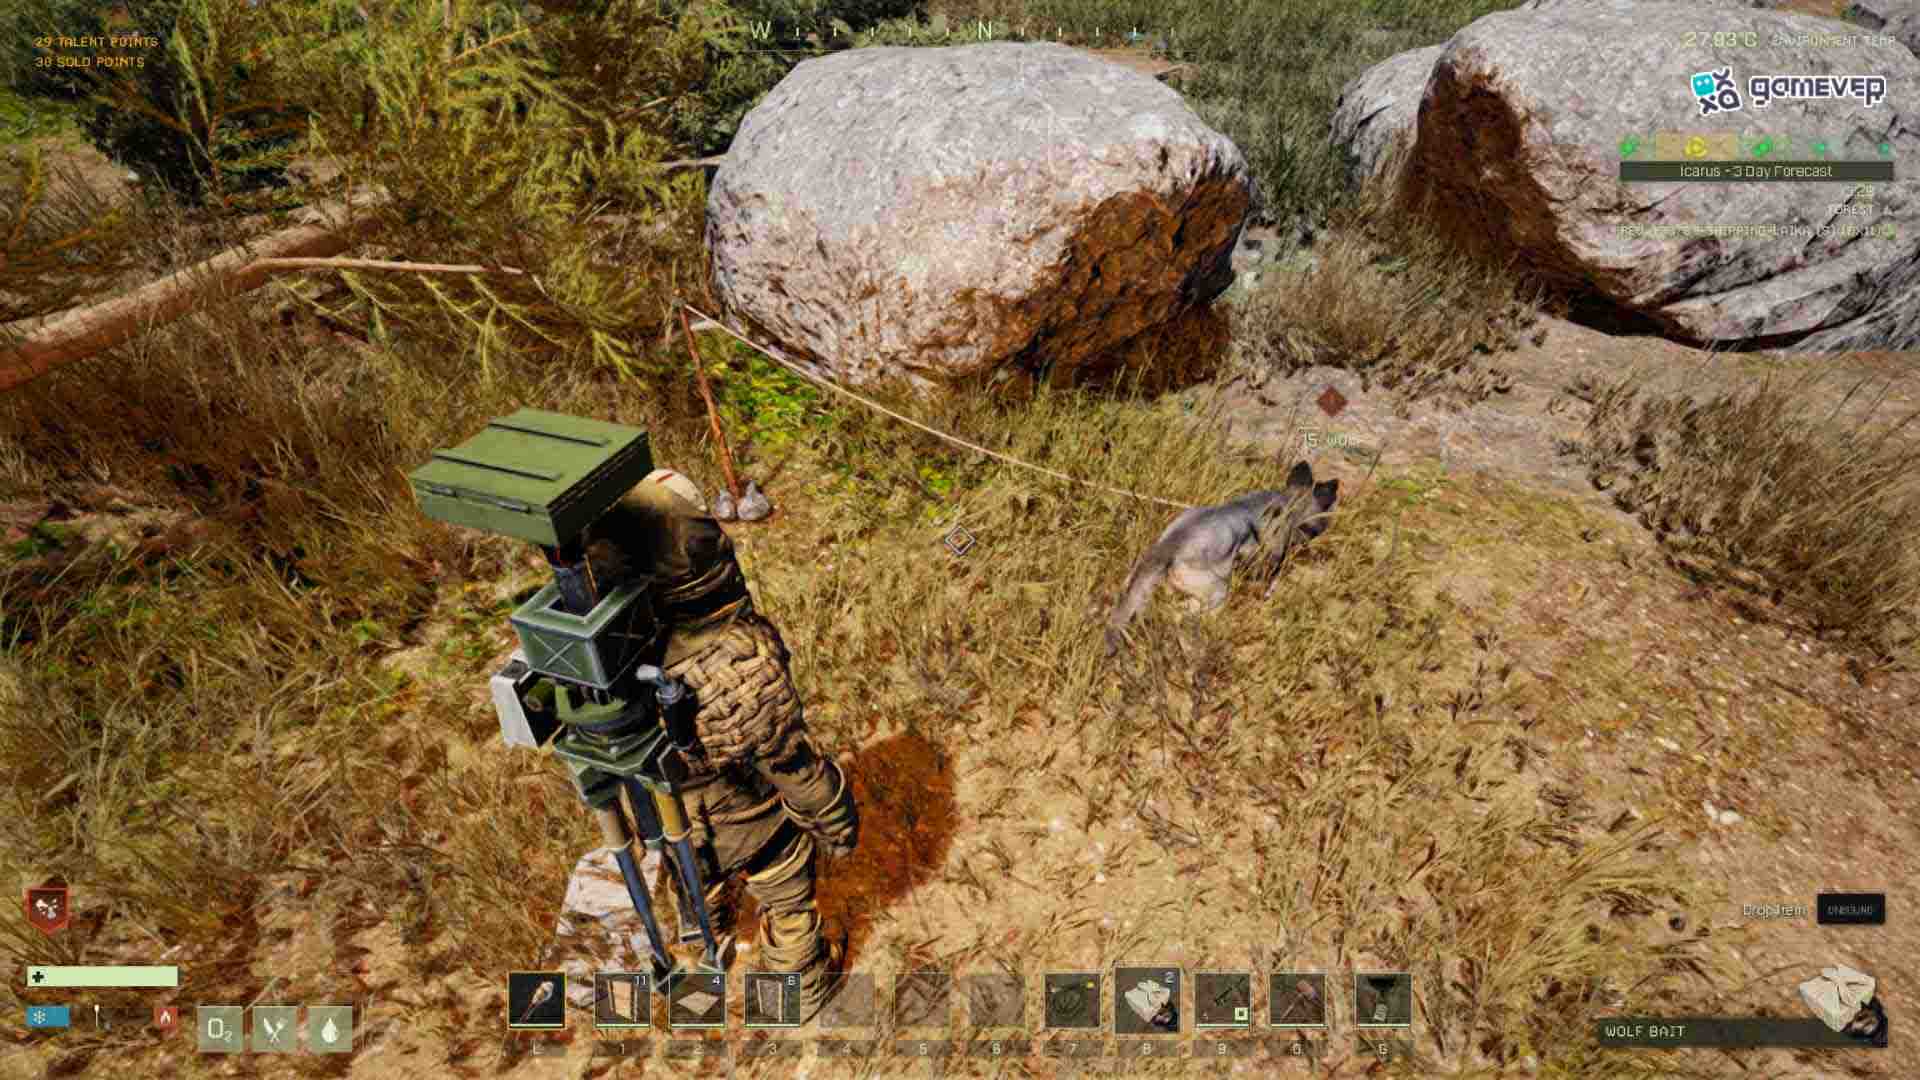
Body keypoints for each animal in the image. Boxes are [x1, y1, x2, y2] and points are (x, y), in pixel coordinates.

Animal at [1104, 461, 1338, 656]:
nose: (1325, 529)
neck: (1289, 502)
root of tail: (1170, 546)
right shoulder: (1268, 558)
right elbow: (1269, 579)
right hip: (1217, 593)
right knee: (1181, 615)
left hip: (1139, 578)